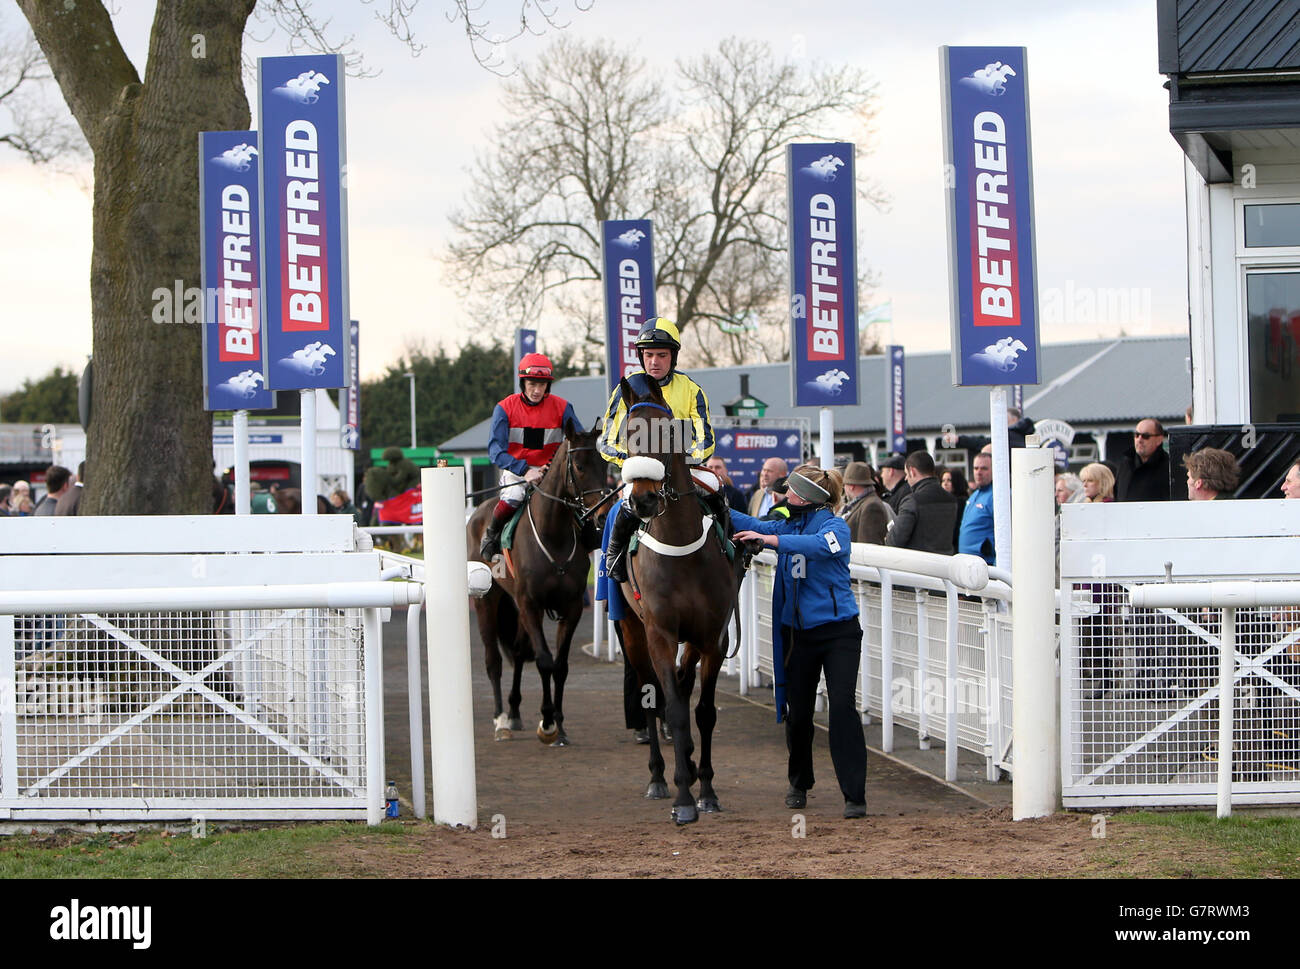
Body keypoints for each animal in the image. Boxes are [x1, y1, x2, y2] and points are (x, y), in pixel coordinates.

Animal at [467, 418, 608, 743]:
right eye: (579, 466)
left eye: (605, 463)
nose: (603, 514)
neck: (552, 534)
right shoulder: (531, 604)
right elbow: (544, 661)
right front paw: (546, 722)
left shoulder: (570, 607)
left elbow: (560, 666)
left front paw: (560, 725)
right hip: (487, 600)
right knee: (493, 660)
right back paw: (500, 720)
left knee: (519, 652)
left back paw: (514, 712)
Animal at [613, 374, 748, 822]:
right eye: (626, 433)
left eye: (668, 432)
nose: (642, 499)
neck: (680, 546)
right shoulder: (659, 632)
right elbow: (669, 706)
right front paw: (683, 798)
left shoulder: (712, 636)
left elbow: (703, 711)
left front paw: (705, 788)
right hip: (631, 628)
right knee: (650, 693)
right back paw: (658, 777)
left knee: (685, 684)